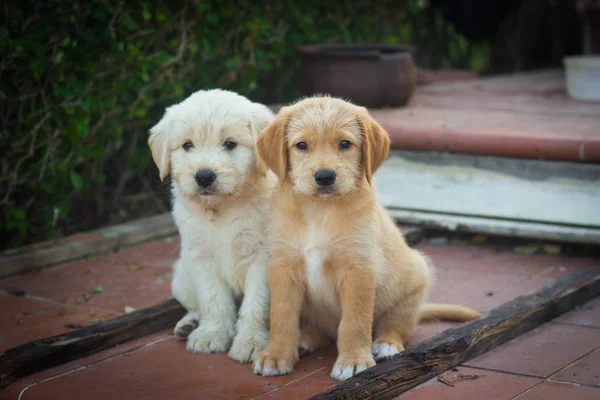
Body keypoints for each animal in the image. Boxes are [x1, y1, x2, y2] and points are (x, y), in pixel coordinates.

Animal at [149, 88, 276, 362]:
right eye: (187, 145)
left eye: (230, 144)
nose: (204, 176)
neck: (224, 208)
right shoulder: (201, 256)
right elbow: (213, 299)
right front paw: (212, 334)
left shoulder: (263, 257)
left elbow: (256, 303)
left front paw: (251, 342)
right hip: (182, 278)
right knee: (195, 304)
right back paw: (190, 324)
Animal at [252, 97, 478, 382]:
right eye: (301, 145)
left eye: (344, 144)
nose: (325, 176)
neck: (319, 211)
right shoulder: (284, 267)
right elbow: (281, 316)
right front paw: (276, 354)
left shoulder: (358, 269)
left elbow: (354, 322)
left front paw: (354, 361)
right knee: (320, 331)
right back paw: (306, 338)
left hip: (415, 281)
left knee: (395, 324)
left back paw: (386, 343)